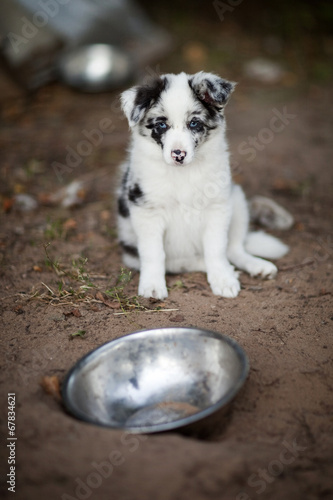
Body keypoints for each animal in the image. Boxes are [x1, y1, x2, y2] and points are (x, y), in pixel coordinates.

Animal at [116, 72, 288, 298]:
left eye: (194, 123)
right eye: (161, 125)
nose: (178, 154)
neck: (182, 174)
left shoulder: (218, 207)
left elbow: (216, 248)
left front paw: (222, 279)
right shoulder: (146, 211)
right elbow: (153, 253)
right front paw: (152, 285)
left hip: (237, 201)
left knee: (233, 248)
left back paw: (255, 266)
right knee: (179, 263)